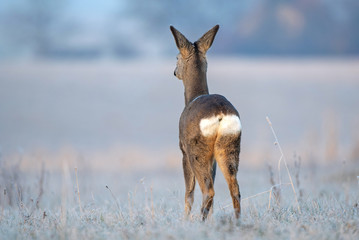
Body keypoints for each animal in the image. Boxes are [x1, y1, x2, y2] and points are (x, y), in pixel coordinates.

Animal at [170, 24, 243, 221]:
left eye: (177, 57)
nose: (174, 72)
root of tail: (221, 114)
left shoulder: (183, 151)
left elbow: (188, 192)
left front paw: (185, 220)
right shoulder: (213, 159)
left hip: (197, 150)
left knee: (207, 190)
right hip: (228, 147)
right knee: (234, 189)